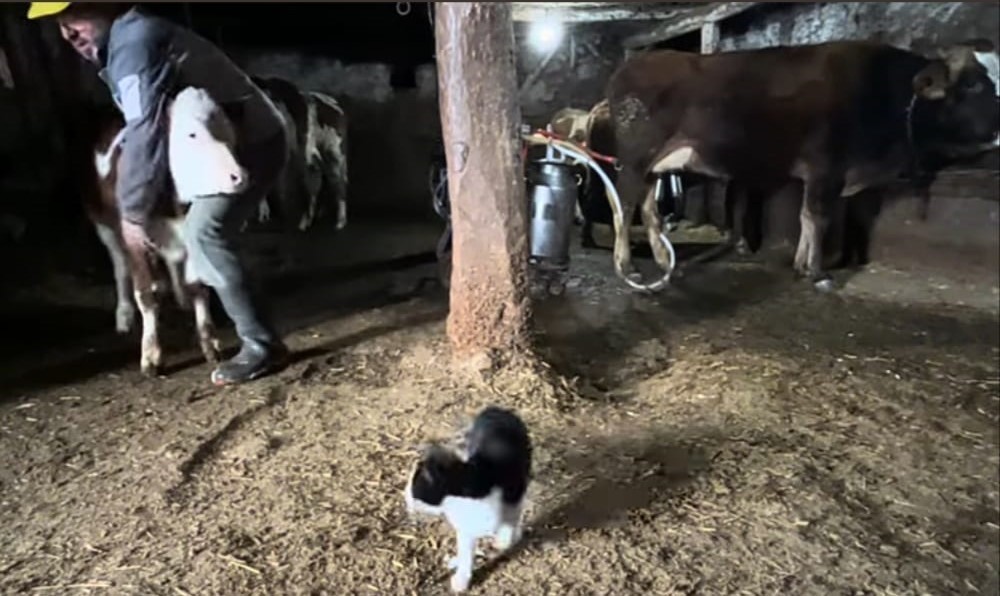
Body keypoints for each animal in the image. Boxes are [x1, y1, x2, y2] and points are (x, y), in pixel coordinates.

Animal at [404, 406, 536, 592]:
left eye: (414, 490)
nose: (405, 499)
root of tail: (497, 409)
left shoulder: (514, 493)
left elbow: (508, 525)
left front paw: (505, 539)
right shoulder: (465, 526)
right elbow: (466, 550)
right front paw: (461, 577)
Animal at [600, 39, 1000, 292]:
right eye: (974, 84)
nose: (999, 129)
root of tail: (636, 63)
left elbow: (806, 218)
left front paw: (801, 264)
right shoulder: (826, 168)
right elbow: (819, 218)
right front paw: (818, 273)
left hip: (654, 167)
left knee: (648, 208)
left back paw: (661, 261)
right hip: (635, 159)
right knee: (624, 205)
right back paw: (625, 267)